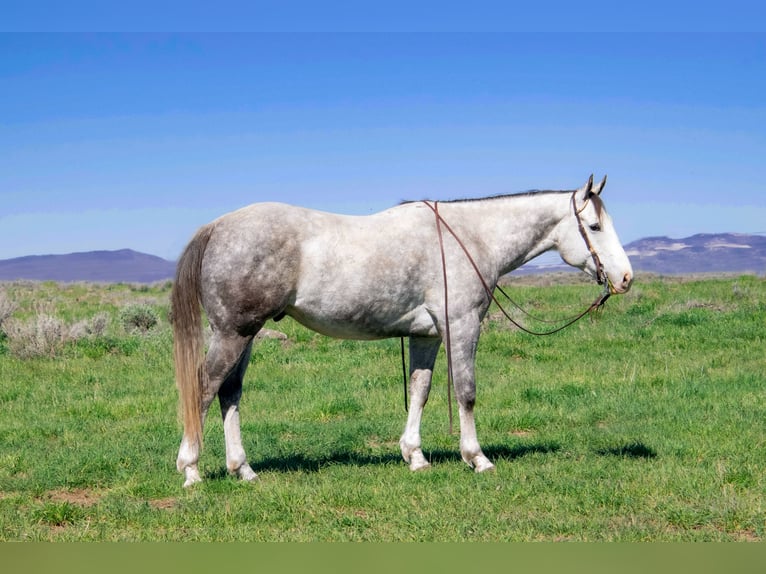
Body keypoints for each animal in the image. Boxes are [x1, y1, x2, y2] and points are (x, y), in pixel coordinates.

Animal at [174, 174, 636, 486]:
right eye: (595, 227)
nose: (626, 277)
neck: (471, 237)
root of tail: (216, 227)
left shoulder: (426, 335)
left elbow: (421, 390)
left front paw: (414, 455)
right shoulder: (462, 325)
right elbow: (466, 391)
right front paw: (477, 458)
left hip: (244, 334)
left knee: (230, 393)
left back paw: (243, 469)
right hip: (234, 333)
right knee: (205, 387)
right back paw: (191, 469)